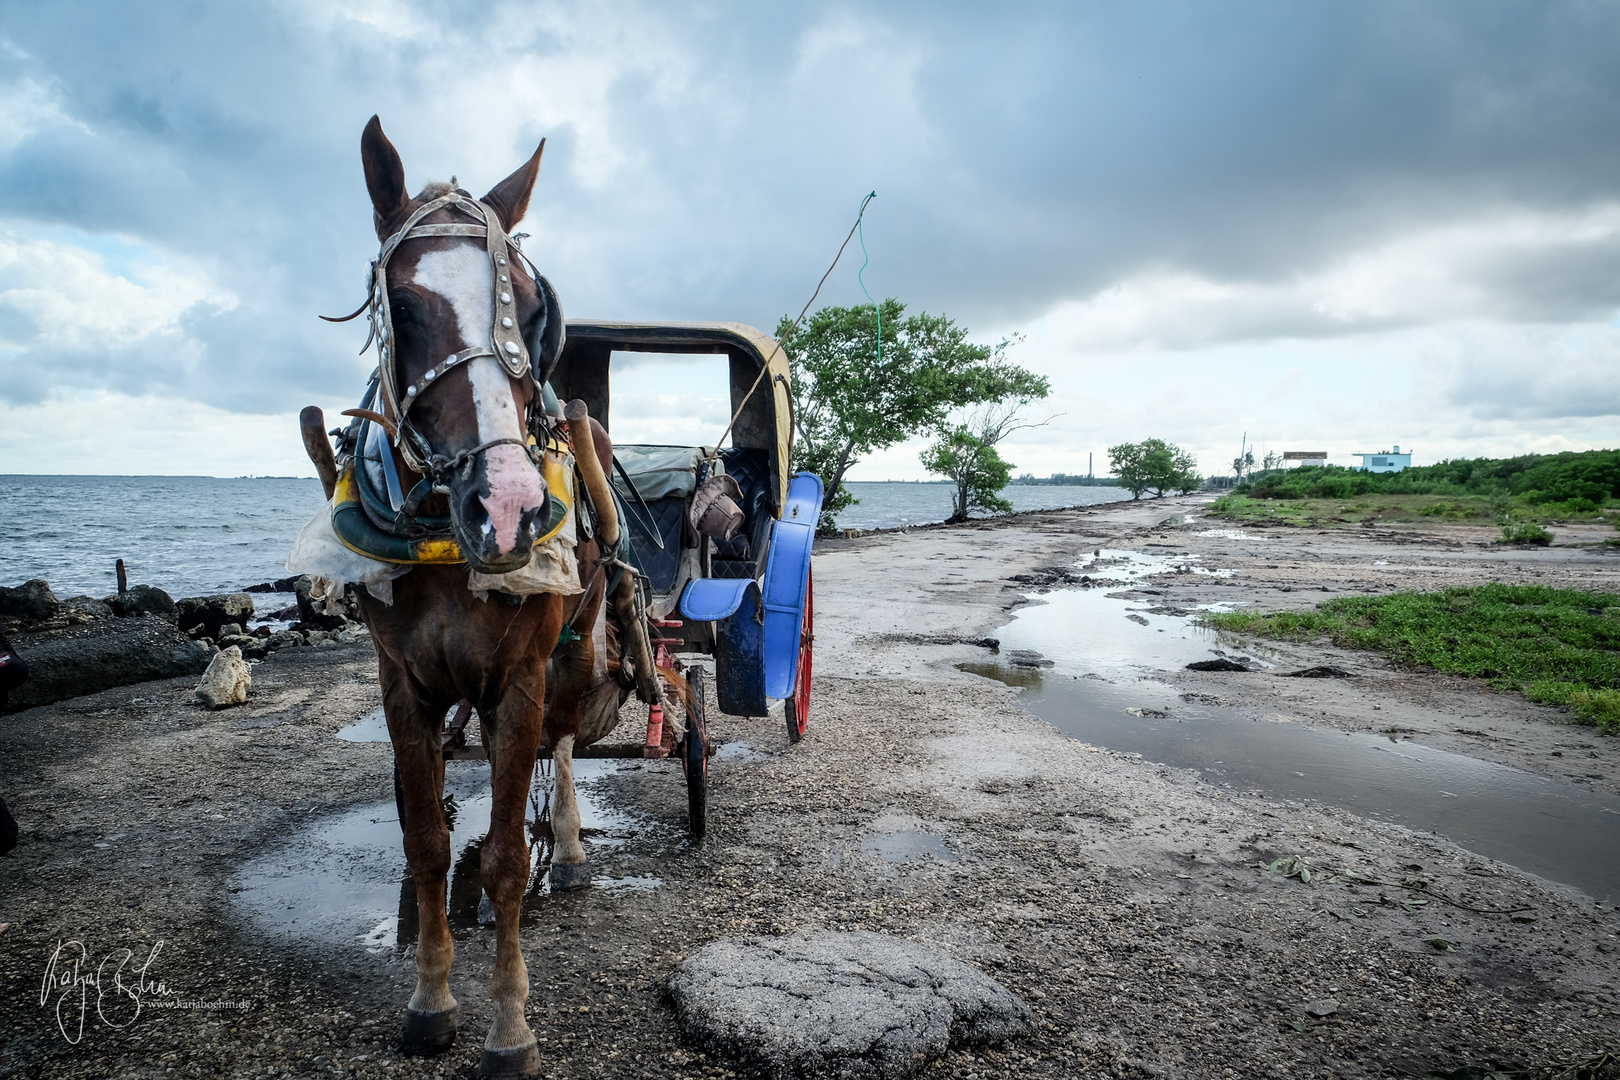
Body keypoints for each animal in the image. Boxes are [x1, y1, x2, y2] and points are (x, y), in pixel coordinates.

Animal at [348, 118, 609, 1080]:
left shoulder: (521, 679)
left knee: (562, 745)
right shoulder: (403, 686)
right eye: (404, 306)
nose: (508, 506)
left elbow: (500, 862)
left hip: (576, 643)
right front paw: (430, 1000)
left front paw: (509, 1027)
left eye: (534, 311)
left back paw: (564, 843)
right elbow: (426, 844)